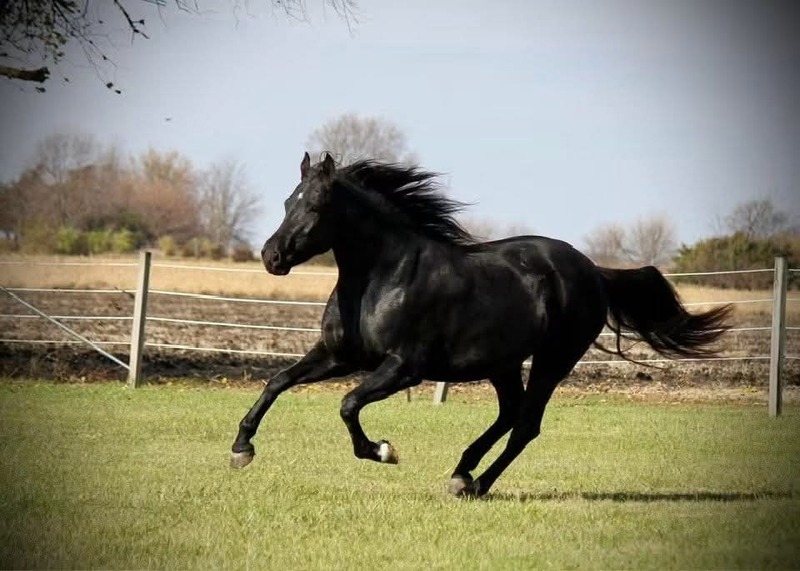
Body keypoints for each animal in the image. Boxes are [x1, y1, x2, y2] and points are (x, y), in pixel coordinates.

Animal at [230, 152, 731, 497]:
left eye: (316, 205)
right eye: (287, 201)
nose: (271, 257)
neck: (382, 277)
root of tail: (594, 271)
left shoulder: (403, 368)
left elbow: (348, 405)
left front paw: (383, 451)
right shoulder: (339, 355)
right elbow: (277, 382)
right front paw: (241, 449)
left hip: (554, 360)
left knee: (526, 424)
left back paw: (474, 484)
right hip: (502, 363)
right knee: (510, 413)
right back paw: (461, 472)